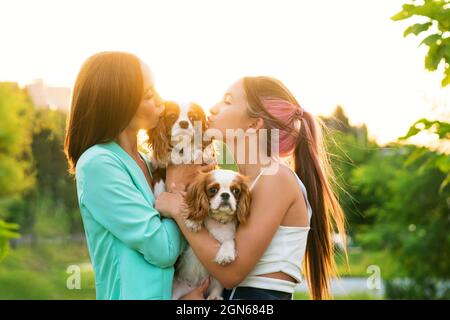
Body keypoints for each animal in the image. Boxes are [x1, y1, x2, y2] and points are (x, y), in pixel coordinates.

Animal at [171, 170, 251, 300]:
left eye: (236, 191)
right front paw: (194, 221)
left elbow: (229, 241)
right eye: (213, 189)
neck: (218, 219)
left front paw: (225, 255)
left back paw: (214, 296)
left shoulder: (229, 235)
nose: (225, 195)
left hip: (215, 280)